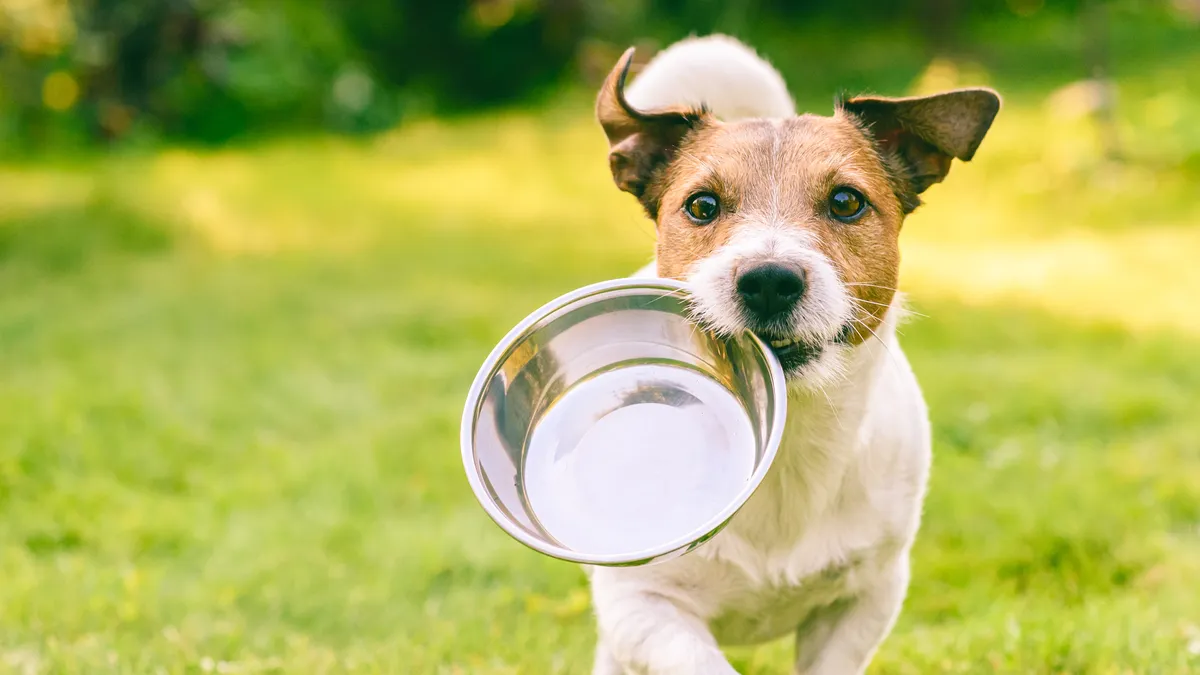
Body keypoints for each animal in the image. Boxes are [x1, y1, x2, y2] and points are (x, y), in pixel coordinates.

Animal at [585, 36, 998, 672]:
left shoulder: (866, 598)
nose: (769, 281)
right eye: (701, 206)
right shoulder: (643, 605)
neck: (788, 440)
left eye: (847, 201)